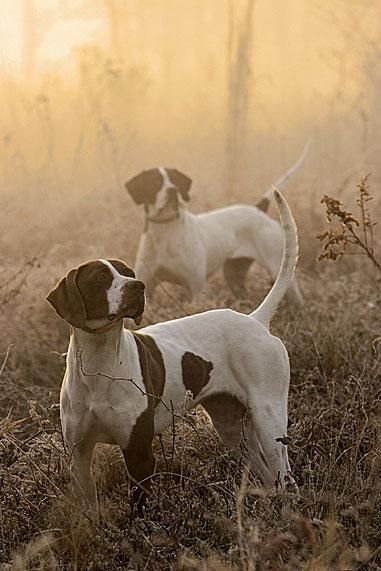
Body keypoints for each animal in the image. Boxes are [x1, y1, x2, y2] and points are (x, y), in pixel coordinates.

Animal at [46, 190, 296, 516]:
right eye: (100, 277)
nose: (138, 286)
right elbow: (90, 510)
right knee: (267, 475)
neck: (100, 362)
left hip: (269, 421)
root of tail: (255, 319)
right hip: (231, 427)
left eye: (128, 273)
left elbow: (138, 514)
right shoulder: (79, 456)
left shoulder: (139, 453)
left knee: (284, 475)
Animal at [124, 143, 308, 304]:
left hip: (280, 270)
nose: (172, 190)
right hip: (234, 275)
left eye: (175, 180)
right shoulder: (148, 288)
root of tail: (258, 208)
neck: (165, 230)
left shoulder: (196, 289)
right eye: (154, 182)